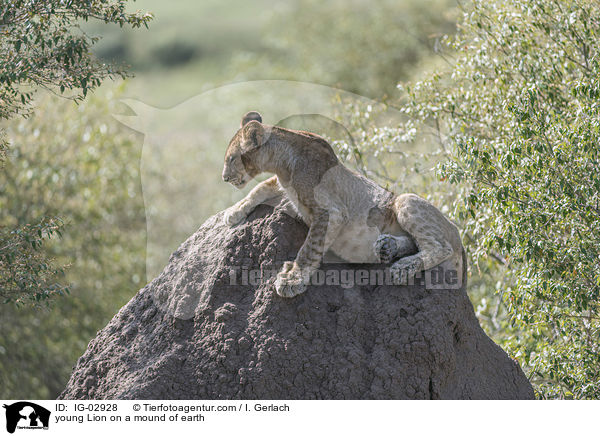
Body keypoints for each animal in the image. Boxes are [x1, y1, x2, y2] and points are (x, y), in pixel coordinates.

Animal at [223, 110, 462, 298]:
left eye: (231, 159)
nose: (224, 178)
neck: (283, 163)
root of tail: (456, 230)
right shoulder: (282, 183)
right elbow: (259, 189)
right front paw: (233, 212)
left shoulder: (332, 211)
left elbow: (309, 247)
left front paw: (293, 279)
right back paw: (387, 247)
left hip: (406, 200)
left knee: (440, 247)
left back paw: (403, 267)